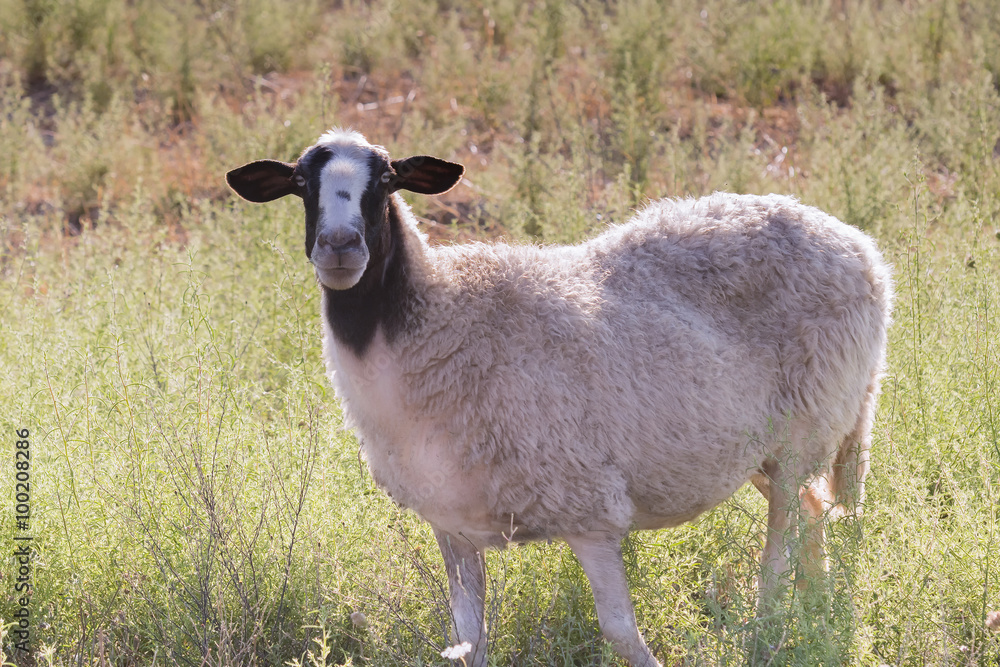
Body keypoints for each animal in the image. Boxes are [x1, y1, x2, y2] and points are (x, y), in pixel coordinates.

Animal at [226, 128, 893, 667]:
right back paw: (819, 618)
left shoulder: (591, 510)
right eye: (300, 183)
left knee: (778, 562)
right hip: (769, 450)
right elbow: (470, 644)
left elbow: (620, 632)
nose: (340, 247)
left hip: (808, 428)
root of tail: (859, 247)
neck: (434, 319)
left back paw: (772, 633)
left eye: (387, 180)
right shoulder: (453, 524)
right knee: (814, 513)